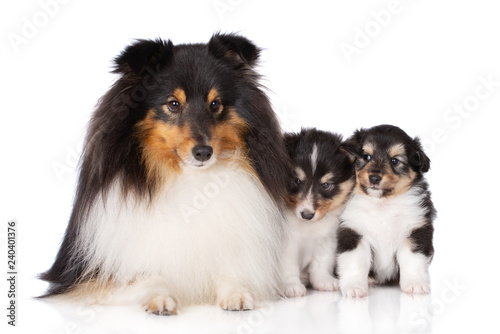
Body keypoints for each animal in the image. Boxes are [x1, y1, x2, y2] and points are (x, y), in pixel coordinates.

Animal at [40, 32, 292, 314]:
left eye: (215, 104)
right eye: (173, 104)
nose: (203, 152)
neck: (190, 181)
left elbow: (230, 271)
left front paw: (237, 293)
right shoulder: (96, 276)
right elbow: (148, 276)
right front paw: (160, 298)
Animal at [282, 129, 356, 298]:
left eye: (326, 185)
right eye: (297, 180)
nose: (307, 215)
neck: (308, 227)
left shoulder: (327, 239)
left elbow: (321, 262)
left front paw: (324, 281)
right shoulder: (286, 243)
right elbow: (288, 265)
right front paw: (291, 286)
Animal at [336, 125, 438, 298]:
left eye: (395, 160)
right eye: (366, 156)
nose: (374, 178)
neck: (382, 204)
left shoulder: (415, 230)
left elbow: (413, 260)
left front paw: (415, 285)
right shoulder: (353, 232)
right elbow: (355, 262)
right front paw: (354, 288)